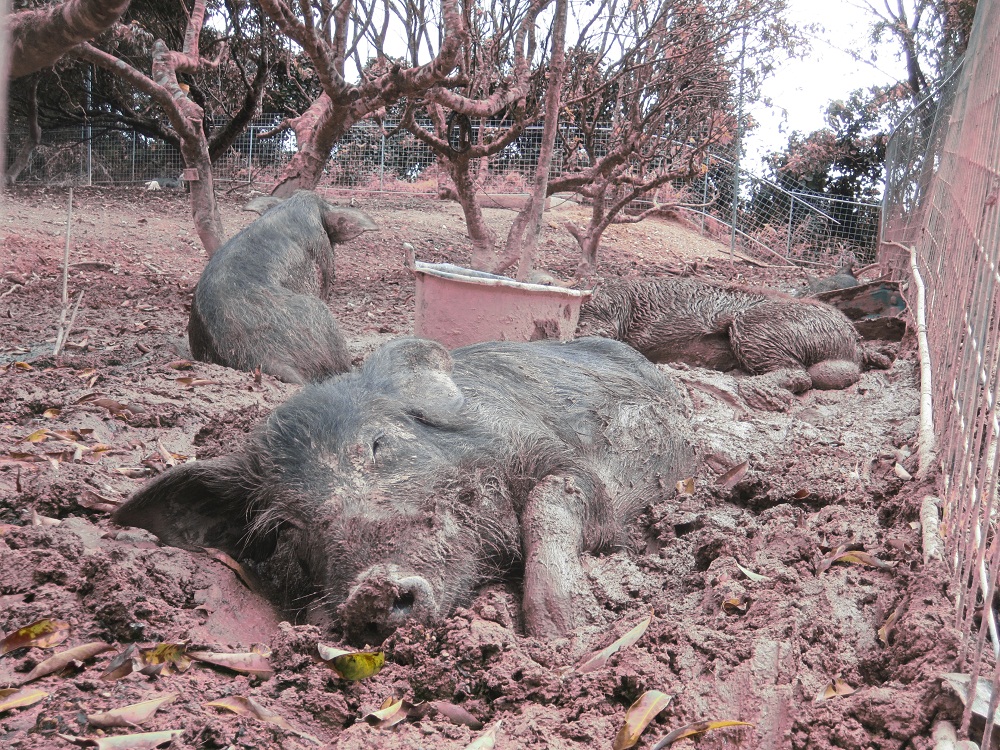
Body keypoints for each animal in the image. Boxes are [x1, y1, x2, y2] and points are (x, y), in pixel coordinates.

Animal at [112, 337, 695, 641]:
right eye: (285, 525)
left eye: (378, 445)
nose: (372, 587)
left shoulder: (577, 472)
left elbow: (552, 504)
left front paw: (566, 632)